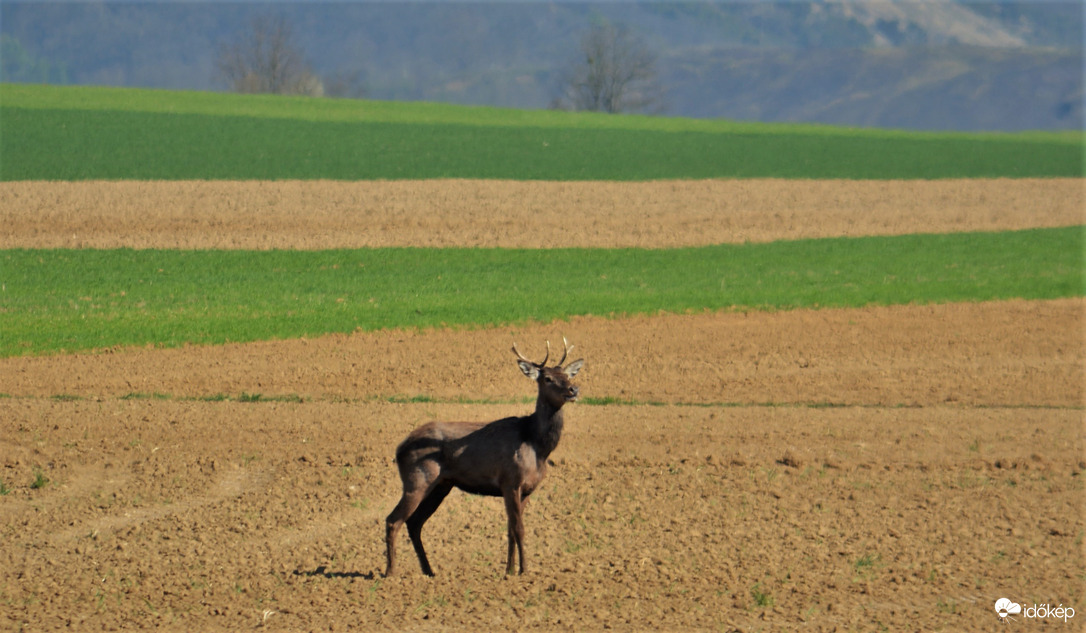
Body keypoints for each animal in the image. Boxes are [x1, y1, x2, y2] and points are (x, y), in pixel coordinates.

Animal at [384, 338, 582, 577]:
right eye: (547, 378)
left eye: (568, 375)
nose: (574, 389)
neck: (536, 445)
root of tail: (399, 448)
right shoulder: (510, 481)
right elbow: (519, 529)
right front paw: (524, 571)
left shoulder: (526, 489)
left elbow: (510, 529)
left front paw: (509, 571)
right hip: (417, 479)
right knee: (393, 520)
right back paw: (391, 573)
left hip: (441, 485)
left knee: (414, 522)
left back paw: (429, 571)